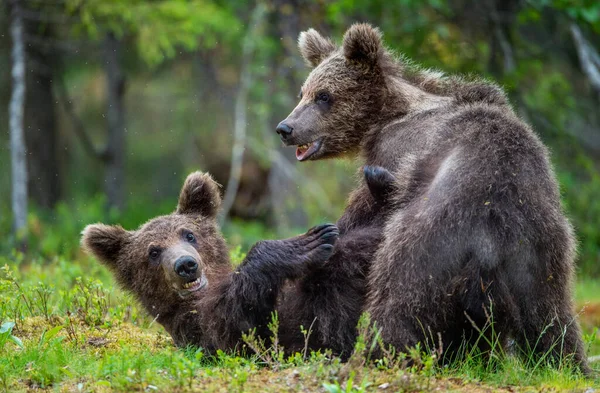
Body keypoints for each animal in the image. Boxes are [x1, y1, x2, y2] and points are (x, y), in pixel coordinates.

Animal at [82, 172, 340, 352]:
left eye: (189, 234)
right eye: (153, 252)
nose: (185, 264)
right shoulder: (195, 329)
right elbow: (238, 331)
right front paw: (307, 244)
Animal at [276, 23, 592, 372]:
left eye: (324, 95)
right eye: (303, 93)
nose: (285, 128)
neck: (388, 115)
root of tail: (493, 220)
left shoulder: (393, 153)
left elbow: (365, 209)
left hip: (431, 237)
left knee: (398, 289)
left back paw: (377, 351)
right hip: (540, 248)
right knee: (551, 315)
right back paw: (567, 362)